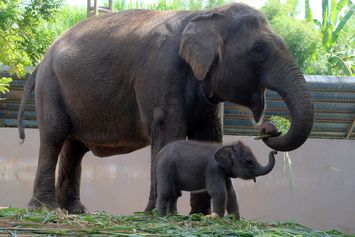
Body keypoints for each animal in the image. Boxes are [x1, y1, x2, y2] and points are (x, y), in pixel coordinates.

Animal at [18, 2, 314, 214]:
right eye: (258, 49)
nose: (269, 129)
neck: (205, 14)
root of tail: (42, 59)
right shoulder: (159, 70)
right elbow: (168, 129)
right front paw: (157, 214)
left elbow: (208, 135)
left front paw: (199, 216)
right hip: (50, 86)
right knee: (54, 136)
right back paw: (45, 209)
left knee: (75, 147)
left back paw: (76, 211)